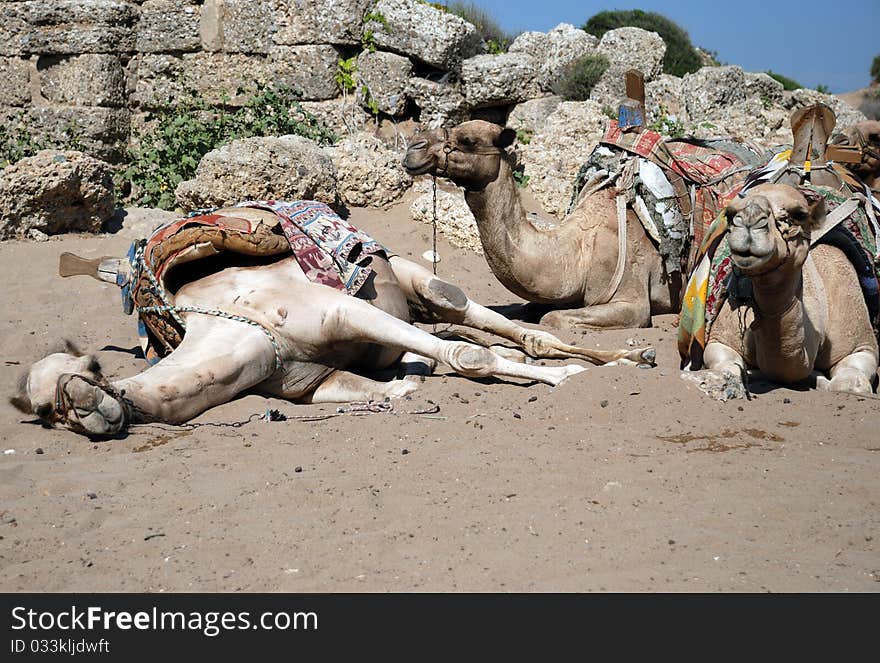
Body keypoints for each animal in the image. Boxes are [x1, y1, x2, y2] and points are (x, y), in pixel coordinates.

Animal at [8, 202, 652, 440]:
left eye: (89, 370)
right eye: (43, 412)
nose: (89, 410)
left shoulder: (341, 308)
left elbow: (470, 356)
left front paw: (566, 381)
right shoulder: (311, 383)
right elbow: (384, 385)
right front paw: (405, 385)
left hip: (413, 279)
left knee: (480, 317)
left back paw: (617, 359)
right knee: (458, 333)